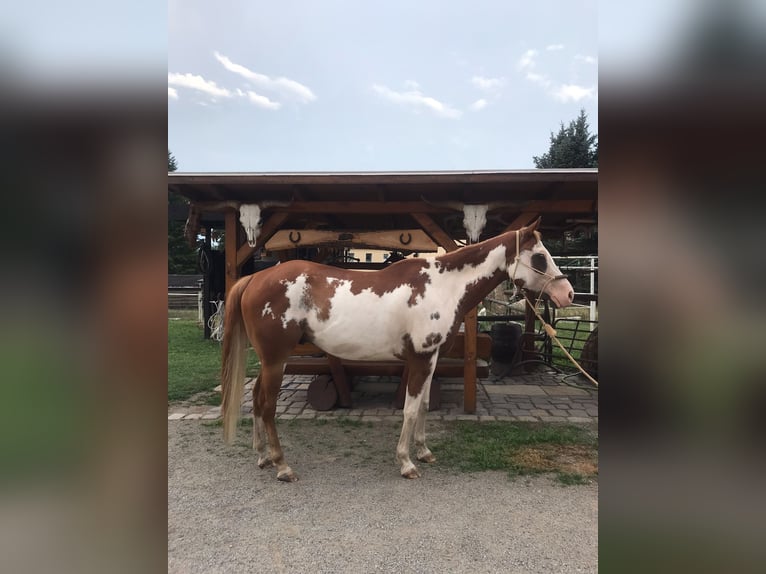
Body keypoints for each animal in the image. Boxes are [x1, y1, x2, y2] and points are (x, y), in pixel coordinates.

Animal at [220, 217, 574, 481]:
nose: (568, 293)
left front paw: (424, 451)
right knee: (267, 406)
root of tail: (256, 278)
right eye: (540, 257)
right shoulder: (420, 358)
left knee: (256, 401)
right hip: (275, 360)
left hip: (269, 362)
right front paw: (406, 462)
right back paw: (282, 466)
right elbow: (409, 408)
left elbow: (424, 406)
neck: (442, 287)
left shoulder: (431, 359)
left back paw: (263, 457)